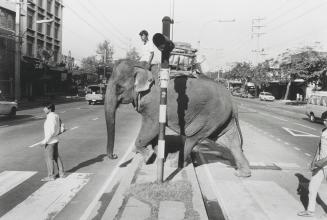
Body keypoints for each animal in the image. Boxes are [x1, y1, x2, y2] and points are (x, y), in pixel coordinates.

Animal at [104, 59, 251, 178]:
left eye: (118, 88)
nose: (115, 156)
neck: (142, 65)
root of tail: (232, 98)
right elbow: (155, 133)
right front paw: (156, 157)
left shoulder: (154, 104)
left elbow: (151, 128)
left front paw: (148, 157)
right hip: (222, 118)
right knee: (230, 140)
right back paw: (242, 174)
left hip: (209, 117)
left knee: (193, 137)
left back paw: (175, 163)